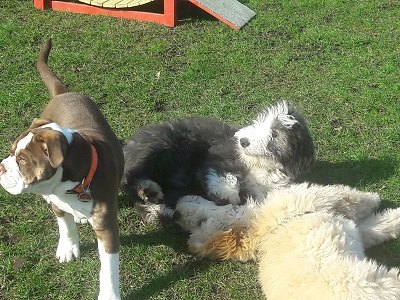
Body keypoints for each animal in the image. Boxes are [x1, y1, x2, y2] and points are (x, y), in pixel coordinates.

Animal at [0, 39, 123, 300]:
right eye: (12, 151)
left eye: (22, 159)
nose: (1, 168)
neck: (68, 187)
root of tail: (63, 93)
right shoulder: (56, 201)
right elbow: (64, 224)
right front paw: (68, 247)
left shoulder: (107, 227)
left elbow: (108, 268)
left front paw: (108, 294)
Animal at [122, 102, 316, 221]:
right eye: (258, 123)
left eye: (275, 133)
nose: (243, 141)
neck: (258, 164)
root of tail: (128, 145)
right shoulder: (219, 154)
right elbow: (224, 176)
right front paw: (226, 194)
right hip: (160, 146)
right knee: (131, 179)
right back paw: (148, 190)